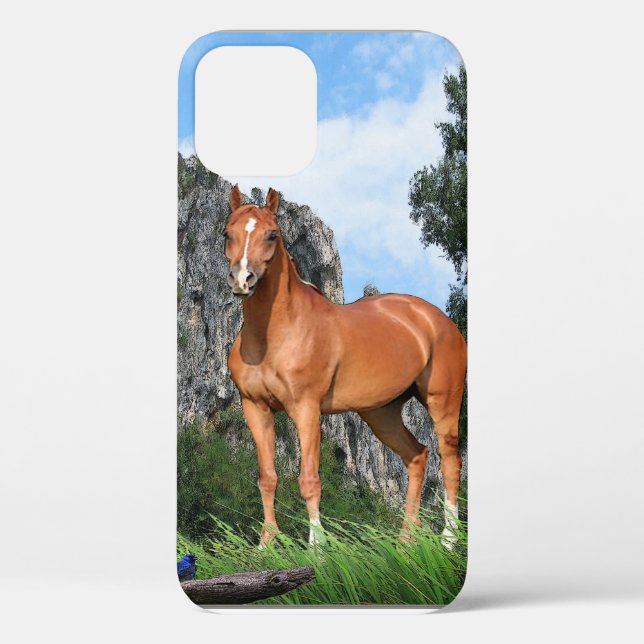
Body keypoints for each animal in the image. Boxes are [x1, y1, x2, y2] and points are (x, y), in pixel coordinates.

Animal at [224, 185, 467, 548]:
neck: (277, 333)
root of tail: (436, 318)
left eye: (272, 235)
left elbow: (309, 479)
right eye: (227, 233)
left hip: (442, 401)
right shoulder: (255, 408)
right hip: (382, 413)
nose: (242, 279)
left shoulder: (306, 409)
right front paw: (265, 546)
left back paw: (448, 541)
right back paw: (405, 542)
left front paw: (317, 549)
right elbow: (267, 477)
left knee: (450, 460)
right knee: (417, 457)